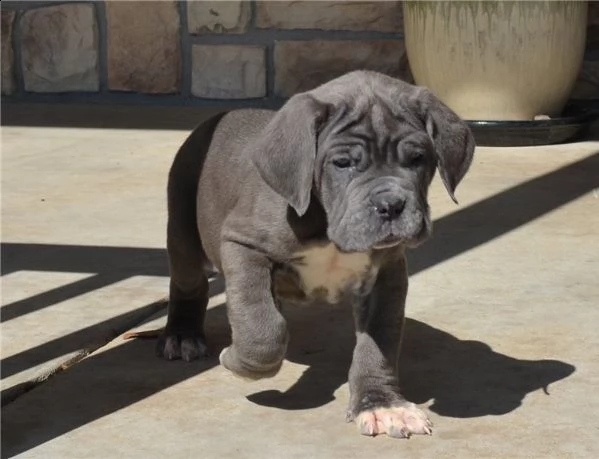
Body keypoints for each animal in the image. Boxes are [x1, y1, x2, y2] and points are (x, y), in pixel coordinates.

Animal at [161, 71, 478, 438]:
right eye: (342, 163)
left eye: (418, 159)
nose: (391, 205)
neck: (327, 225)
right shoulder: (243, 245)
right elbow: (261, 328)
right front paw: (235, 359)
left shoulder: (387, 274)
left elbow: (378, 344)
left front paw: (382, 406)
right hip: (184, 231)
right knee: (188, 283)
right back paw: (183, 336)